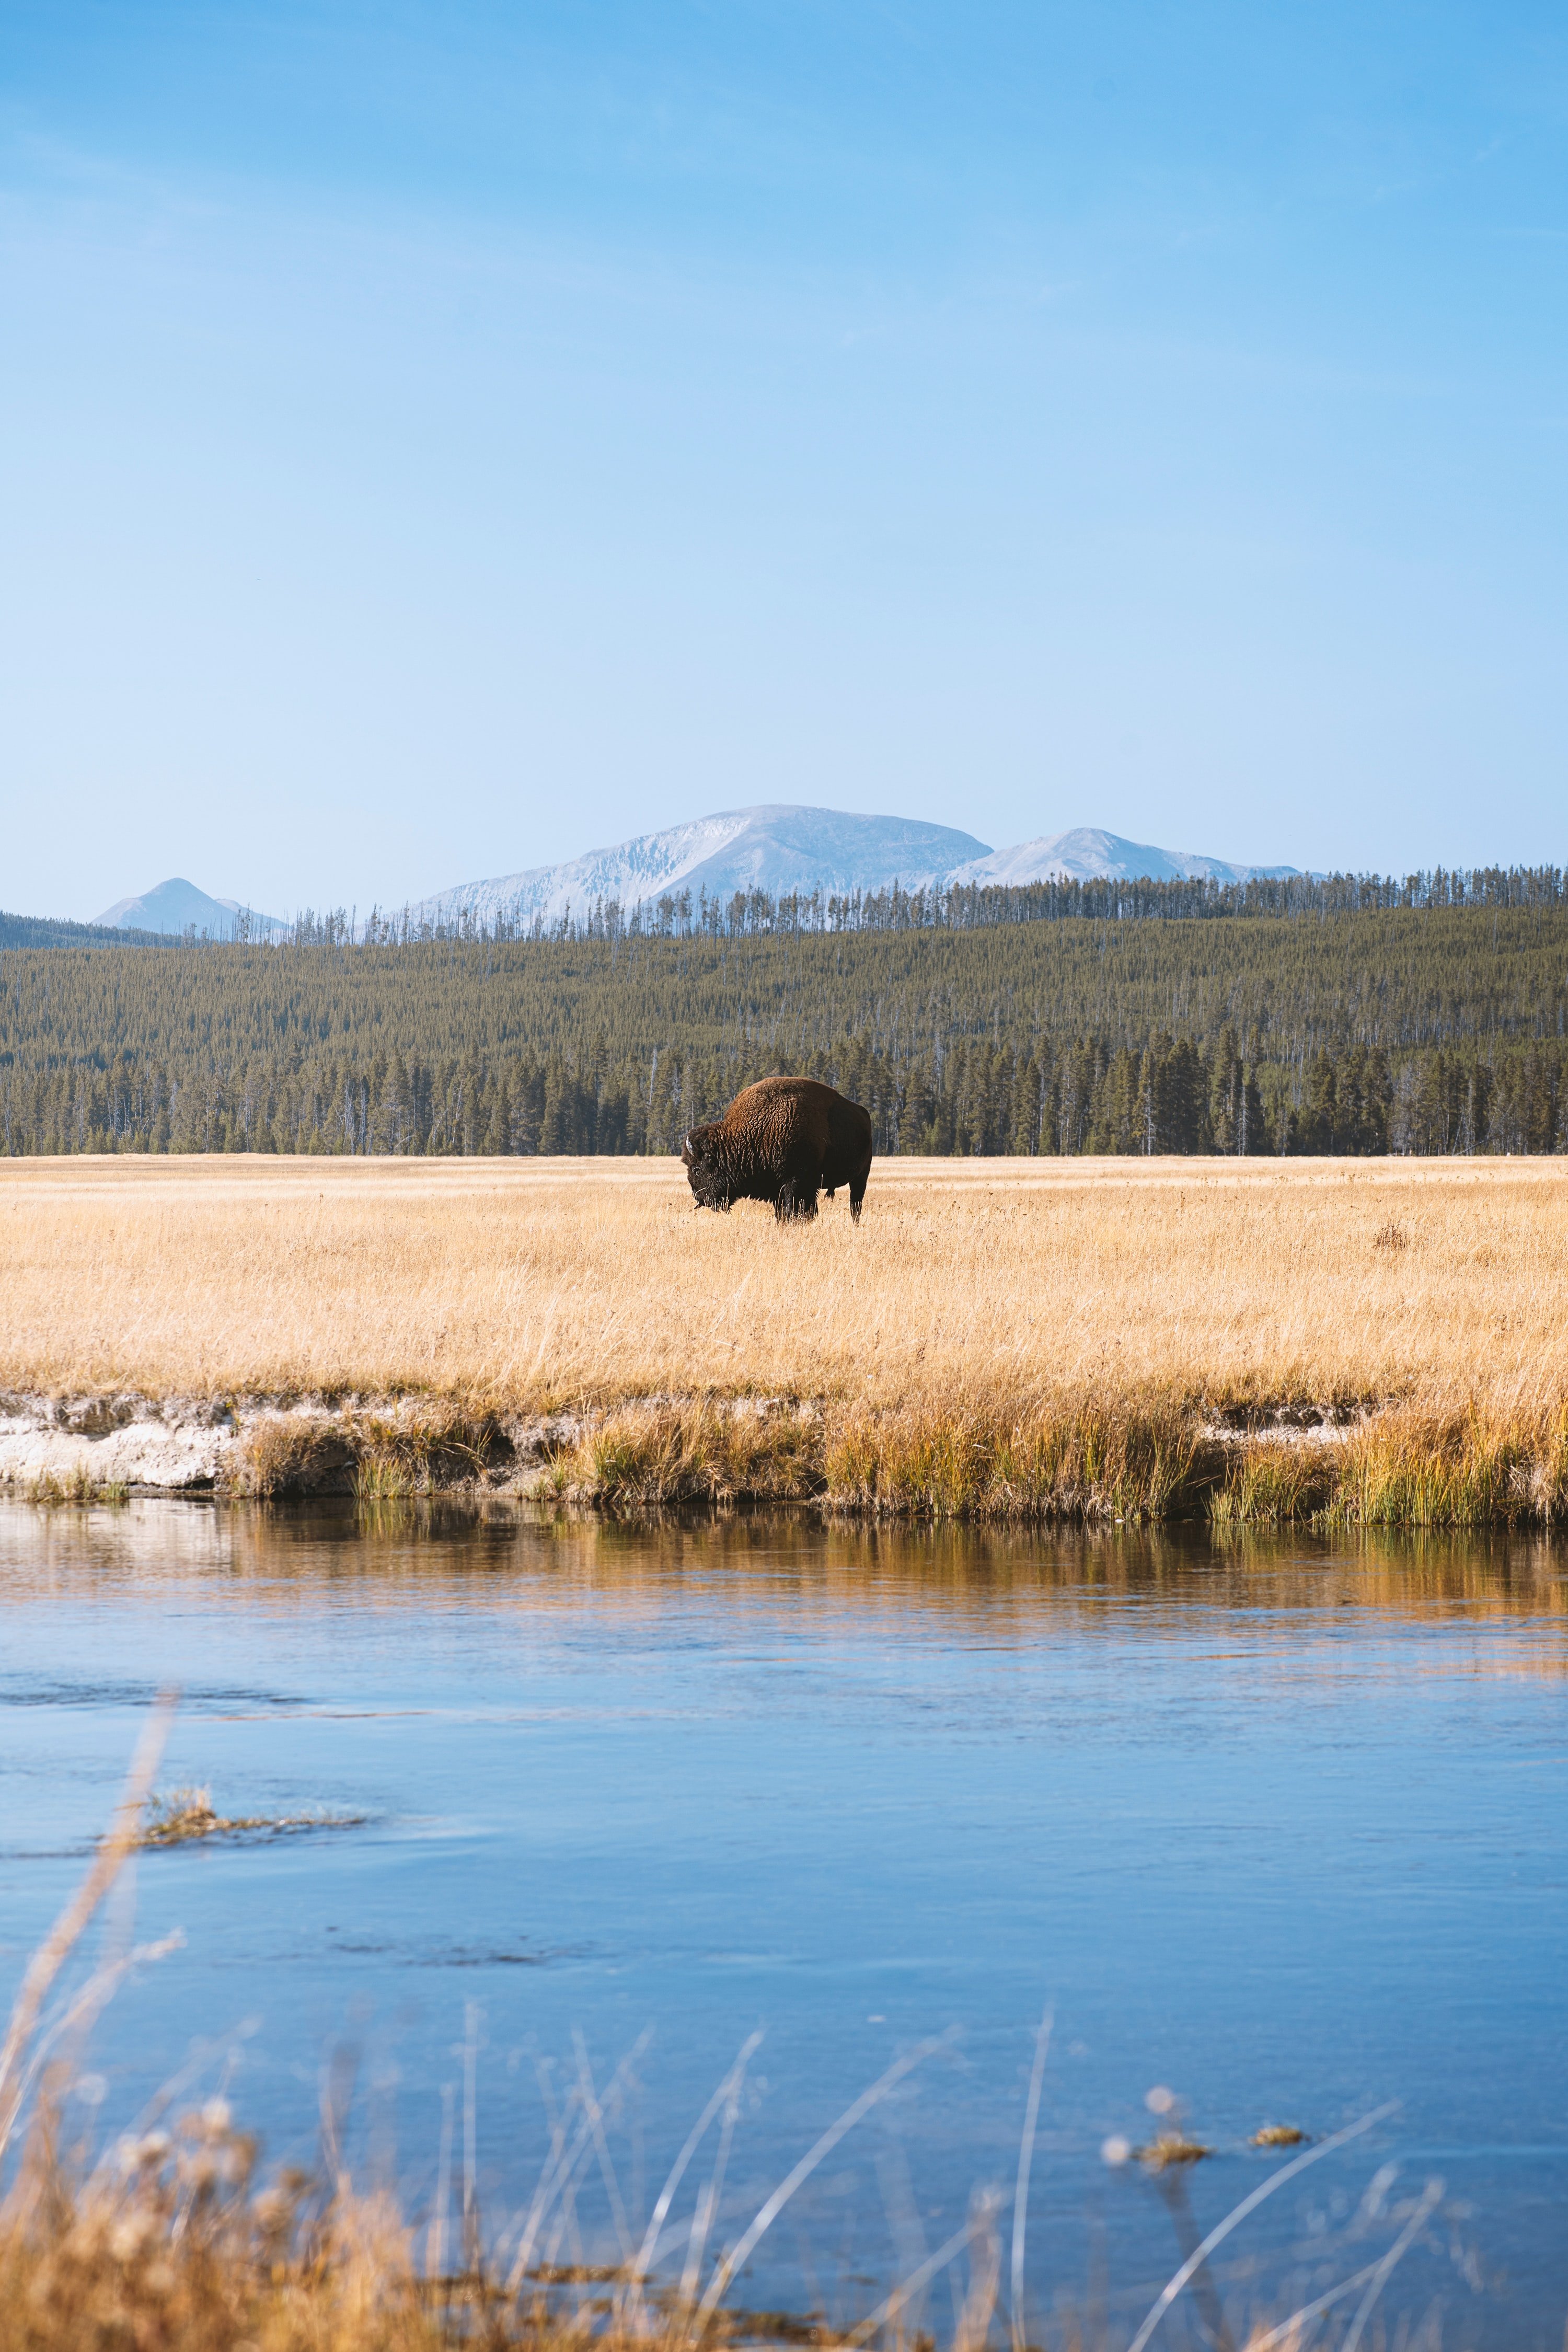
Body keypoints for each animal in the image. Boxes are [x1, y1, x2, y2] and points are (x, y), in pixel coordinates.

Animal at [682, 1077, 879, 1223]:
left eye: (696, 1169)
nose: (697, 1196)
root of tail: (864, 1114)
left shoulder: (796, 1181)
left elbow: (795, 1208)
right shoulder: (777, 1187)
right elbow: (784, 1211)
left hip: (861, 1176)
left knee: (855, 1204)